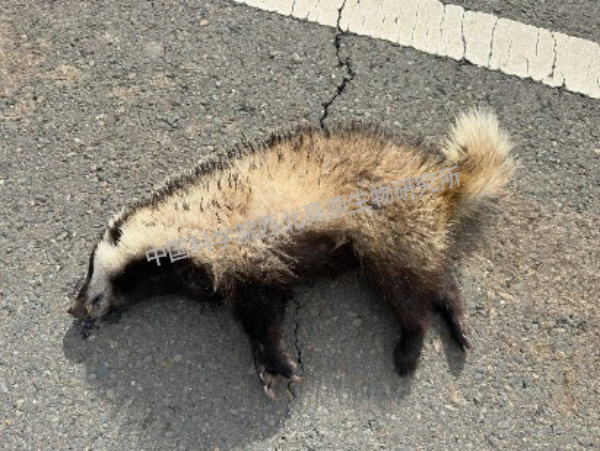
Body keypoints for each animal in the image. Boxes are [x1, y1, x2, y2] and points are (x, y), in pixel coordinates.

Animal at [69, 109, 514, 398]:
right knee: (437, 277)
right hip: (413, 232)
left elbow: (265, 314)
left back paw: (409, 348)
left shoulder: (247, 253)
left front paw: (280, 365)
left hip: (392, 226)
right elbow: (254, 315)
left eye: (91, 273)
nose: (74, 309)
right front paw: (268, 368)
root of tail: (441, 178)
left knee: (409, 292)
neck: (185, 225)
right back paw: (458, 324)